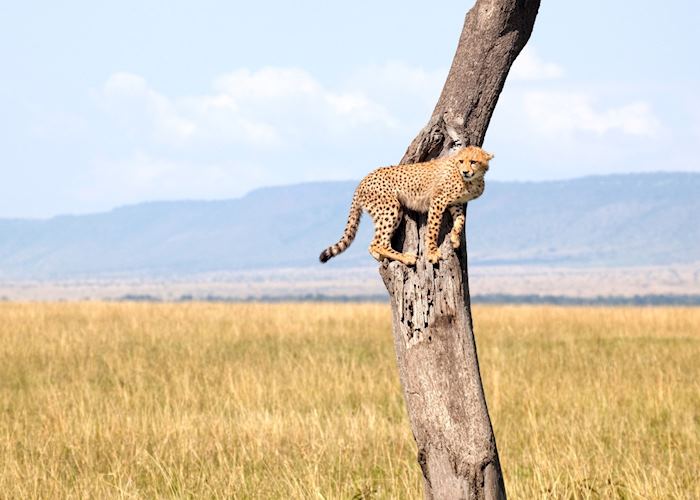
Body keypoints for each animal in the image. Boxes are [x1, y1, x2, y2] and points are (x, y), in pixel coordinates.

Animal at [319, 145, 493, 266]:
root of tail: (363, 179)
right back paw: (406, 257)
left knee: (373, 244)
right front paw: (432, 253)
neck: (472, 181)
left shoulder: (455, 202)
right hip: (390, 207)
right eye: (461, 161)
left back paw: (381, 256)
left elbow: (461, 219)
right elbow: (433, 229)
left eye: (473, 162)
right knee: (379, 242)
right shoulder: (438, 200)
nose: (465, 172)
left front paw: (455, 238)